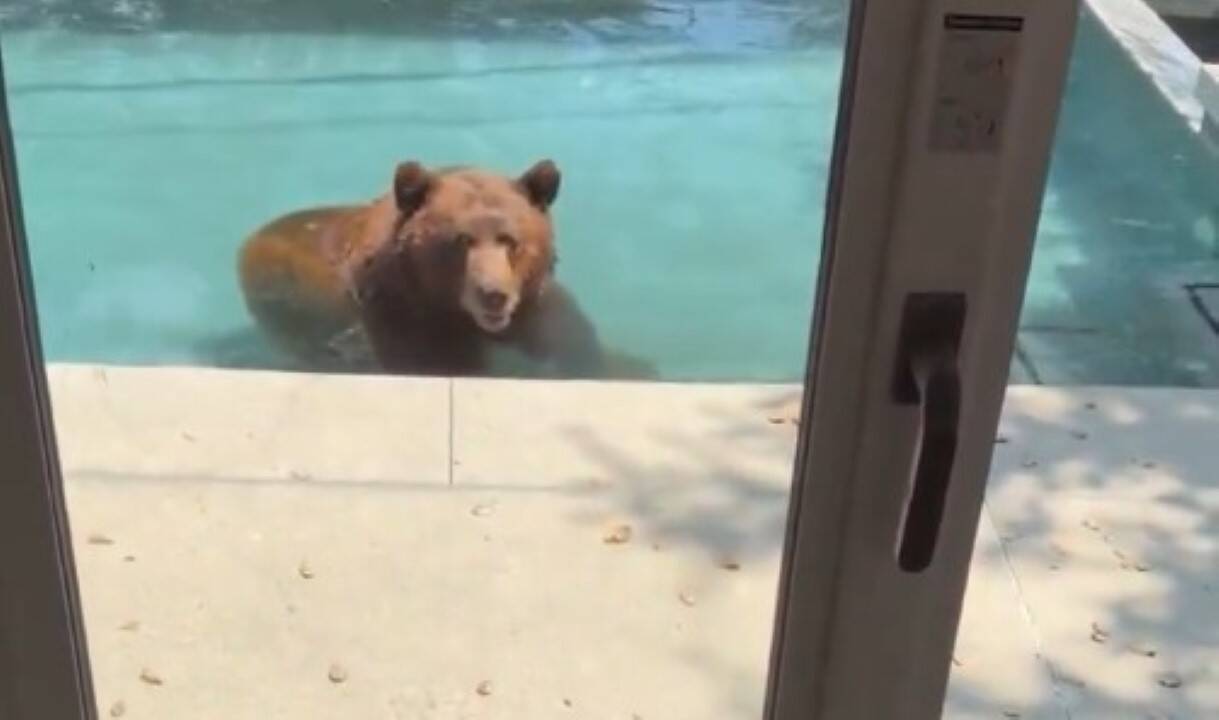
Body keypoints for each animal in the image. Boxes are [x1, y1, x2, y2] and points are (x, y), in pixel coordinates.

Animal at [238, 159, 654, 379]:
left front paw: (634, 365)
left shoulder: (535, 308)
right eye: (461, 240)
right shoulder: (406, 319)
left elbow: (578, 349)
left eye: (510, 240)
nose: (493, 295)